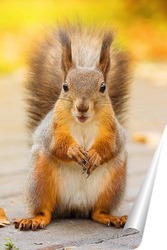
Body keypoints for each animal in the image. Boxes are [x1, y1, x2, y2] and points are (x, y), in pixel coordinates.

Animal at [14, 23, 132, 230]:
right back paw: (35, 219)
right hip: (40, 177)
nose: (82, 107)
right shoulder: (53, 129)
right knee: (45, 210)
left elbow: (110, 146)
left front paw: (95, 155)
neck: (83, 123)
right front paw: (74, 151)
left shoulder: (112, 131)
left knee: (97, 212)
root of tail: (75, 207)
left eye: (103, 87)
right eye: (65, 86)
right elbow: (57, 145)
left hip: (114, 182)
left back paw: (110, 217)